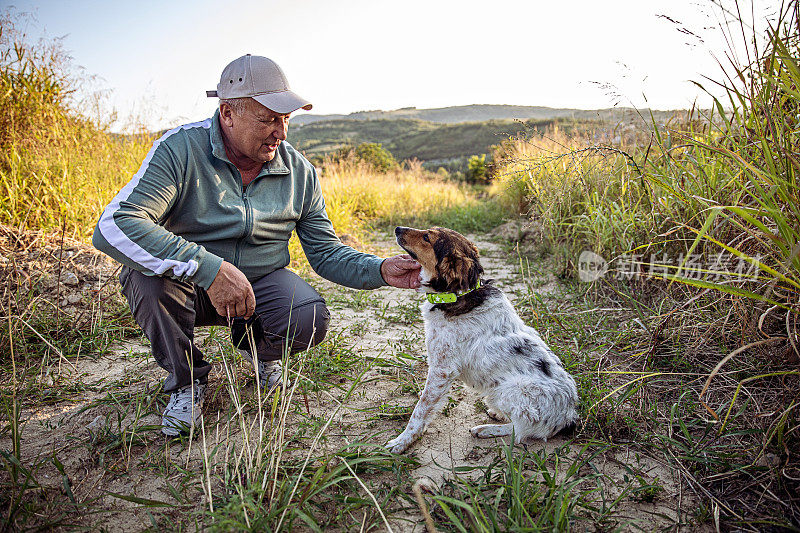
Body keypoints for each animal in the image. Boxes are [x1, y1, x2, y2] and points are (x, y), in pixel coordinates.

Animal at [386, 224, 580, 454]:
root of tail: (569, 417)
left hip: (512, 389)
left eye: (427, 237)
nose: (397, 228)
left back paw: (486, 429)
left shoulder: (442, 370)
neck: (458, 295)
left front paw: (402, 441)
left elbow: (420, 409)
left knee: (521, 431)